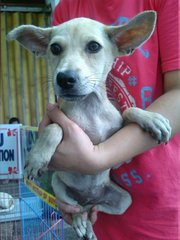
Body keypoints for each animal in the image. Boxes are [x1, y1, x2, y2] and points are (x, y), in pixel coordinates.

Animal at [7, 11, 172, 240]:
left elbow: (127, 112)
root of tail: (88, 197)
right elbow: (54, 128)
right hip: (59, 185)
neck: (90, 107)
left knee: (93, 209)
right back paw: (79, 222)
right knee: (78, 209)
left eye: (94, 46)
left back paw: (89, 224)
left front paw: (151, 119)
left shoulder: (120, 148)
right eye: (55, 48)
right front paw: (37, 158)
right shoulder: (55, 121)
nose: (65, 78)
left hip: (122, 200)